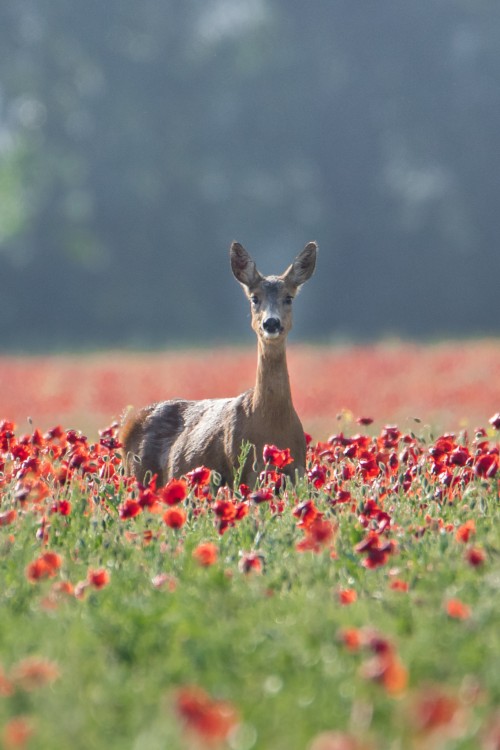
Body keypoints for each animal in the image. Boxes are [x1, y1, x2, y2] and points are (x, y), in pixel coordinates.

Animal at [120, 241, 316, 488]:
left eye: (289, 297)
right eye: (254, 298)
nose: (271, 323)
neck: (272, 423)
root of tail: (126, 428)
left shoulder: (298, 470)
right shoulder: (245, 471)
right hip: (139, 475)